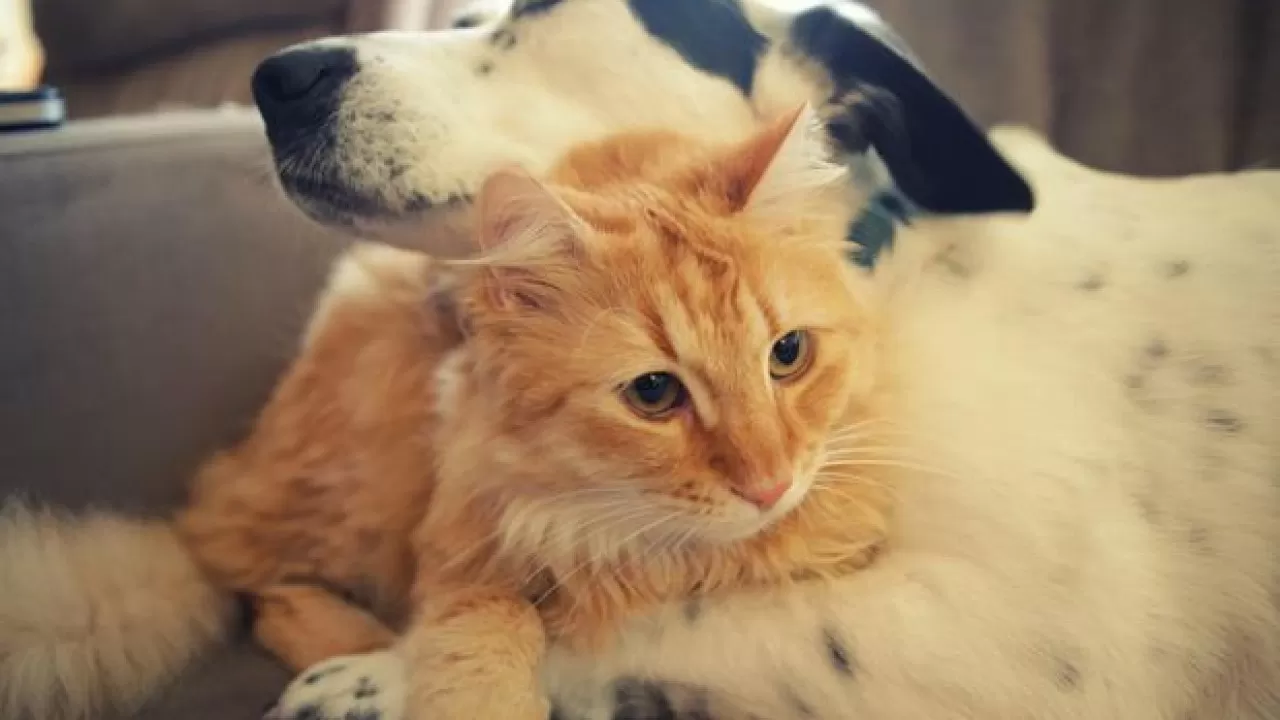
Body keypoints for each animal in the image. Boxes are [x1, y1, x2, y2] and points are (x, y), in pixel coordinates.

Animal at [176, 103, 895, 719]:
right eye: (654, 393)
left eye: (788, 354)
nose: (770, 487)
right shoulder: (466, 539)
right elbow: (484, 634)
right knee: (253, 575)